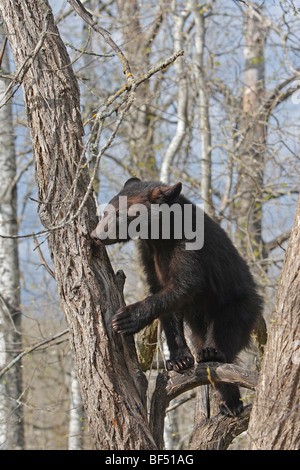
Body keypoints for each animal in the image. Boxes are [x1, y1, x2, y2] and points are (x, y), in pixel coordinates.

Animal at [90, 177, 262, 414]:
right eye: (107, 211)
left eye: (119, 213)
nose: (95, 235)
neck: (160, 233)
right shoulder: (149, 254)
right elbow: (165, 300)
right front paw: (179, 359)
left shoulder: (190, 241)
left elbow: (185, 284)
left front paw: (126, 318)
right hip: (199, 324)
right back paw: (230, 402)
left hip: (238, 304)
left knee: (226, 330)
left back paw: (213, 356)